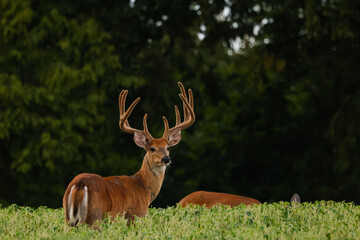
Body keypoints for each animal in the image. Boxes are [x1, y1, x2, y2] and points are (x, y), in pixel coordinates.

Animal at [63, 82, 195, 227]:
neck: (143, 187)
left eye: (168, 147)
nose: (166, 159)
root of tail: (80, 184)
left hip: (68, 217)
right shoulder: (135, 215)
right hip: (94, 216)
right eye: (152, 149)